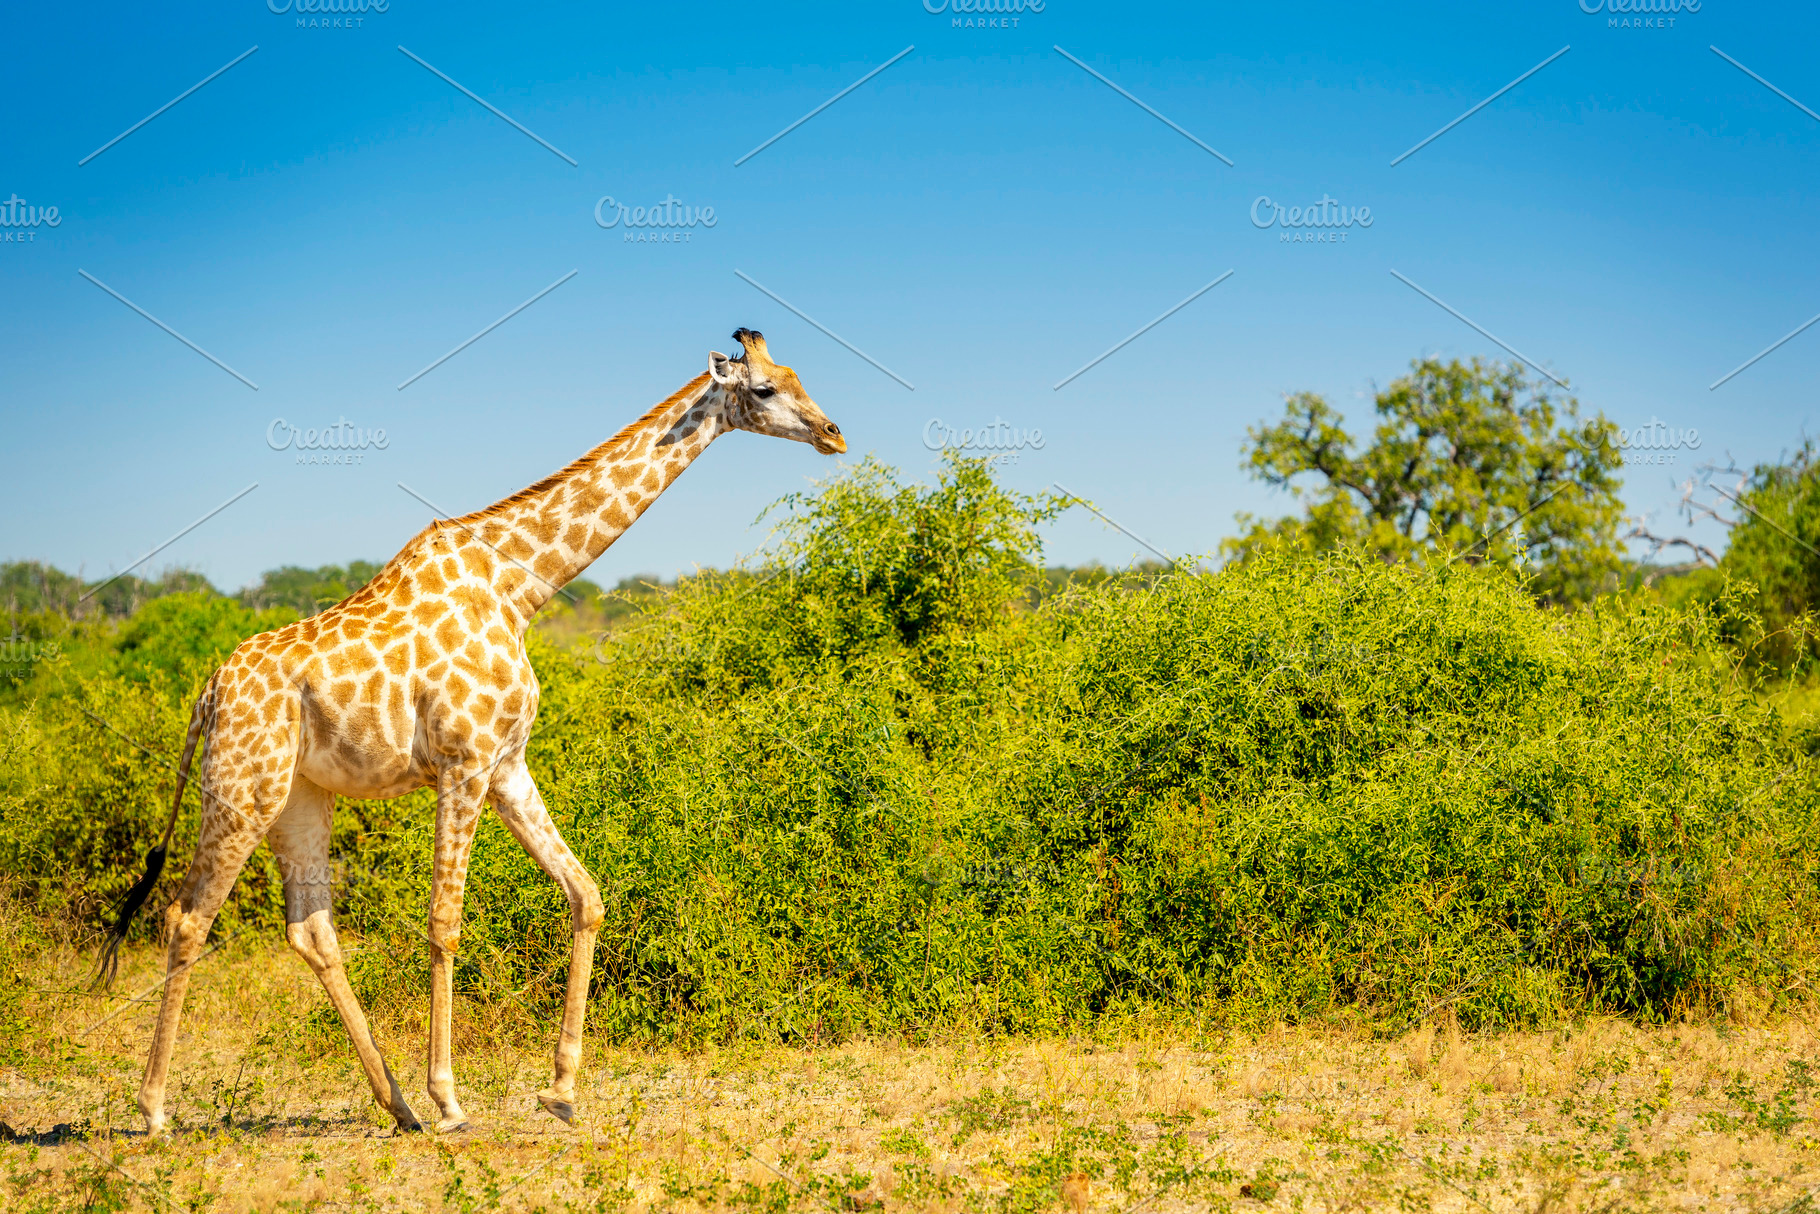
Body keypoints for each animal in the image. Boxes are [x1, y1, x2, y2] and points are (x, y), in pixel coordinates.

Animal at [98, 330, 845, 1136]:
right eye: (765, 389)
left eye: (797, 375)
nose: (834, 434)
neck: (520, 588)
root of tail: (208, 692)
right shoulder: (463, 763)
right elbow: (445, 921)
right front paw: (451, 1097)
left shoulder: (507, 763)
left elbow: (586, 894)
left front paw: (561, 1089)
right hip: (242, 790)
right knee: (186, 918)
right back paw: (154, 1110)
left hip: (298, 796)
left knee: (310, 930)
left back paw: (395, 1105)